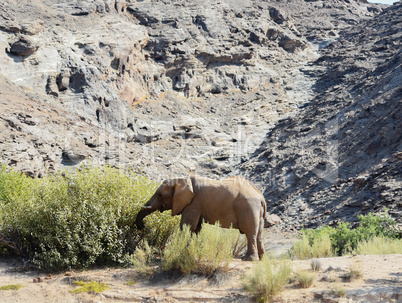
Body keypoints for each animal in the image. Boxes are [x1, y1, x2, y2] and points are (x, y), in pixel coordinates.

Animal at [135, 176, 266, 262]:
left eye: (160, 195)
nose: (142, 226)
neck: (182, 180)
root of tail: (260, 196)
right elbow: (196, 228)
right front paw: (191, 252)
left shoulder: (194, 202)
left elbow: (187, 226)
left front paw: (178, 253)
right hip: (256, 210)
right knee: (259, 234)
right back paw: (261, 258)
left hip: (249, 207)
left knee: (250, 232)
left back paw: (249, 259)